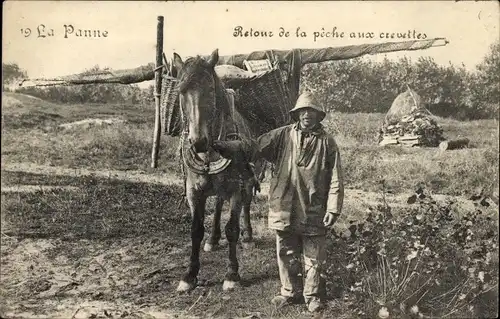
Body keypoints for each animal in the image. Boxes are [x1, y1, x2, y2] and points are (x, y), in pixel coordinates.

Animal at [173, 49, 262, 292]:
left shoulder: (236, 189)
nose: (199, 142)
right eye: (181, 91)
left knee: (246, 206)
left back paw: (248, 237)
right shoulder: (194, 192)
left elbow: (232, 229)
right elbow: (195, 230)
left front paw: (232, 274)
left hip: (246, 183)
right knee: (220, 204)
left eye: (211, 90)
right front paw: (189, 275)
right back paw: (213, 239)